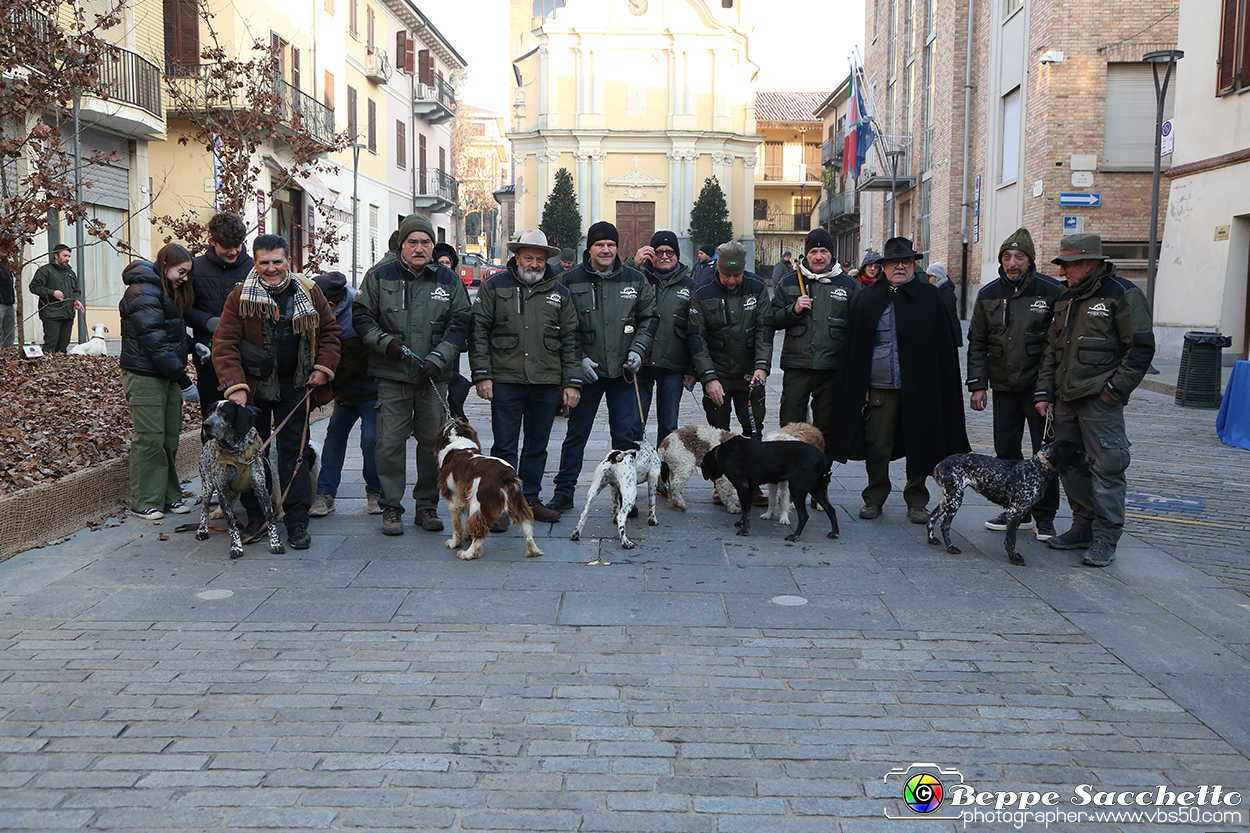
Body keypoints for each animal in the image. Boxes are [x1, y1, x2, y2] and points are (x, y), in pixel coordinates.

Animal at [196, 397, 285, 555]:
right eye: (210, 412)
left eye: (224, 412)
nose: (206, 424)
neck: (234, 452)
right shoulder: (222, 493)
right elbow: (231, 526)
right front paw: (236, 546)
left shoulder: (261, 490)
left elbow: (270, 521)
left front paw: (276, 544)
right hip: (207, 487)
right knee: (204, 510)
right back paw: (202, 530)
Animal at [695, 430, 840, 542]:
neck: (723, 453)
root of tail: (823, 458)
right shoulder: (749, 487)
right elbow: (746, 508)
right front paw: (742, 523)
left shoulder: (742, 485)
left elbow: (745, 509)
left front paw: (745, 530)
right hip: (816, 489)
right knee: (831, 509)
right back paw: (835, 533)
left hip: (797, 488)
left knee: (804, 515)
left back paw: (795, 536)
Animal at [930, 435, 1095, 565]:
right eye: (1077, 451)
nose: (1092, 460)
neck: (1037, 469)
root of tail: (939, 465)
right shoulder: (1014, 511)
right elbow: (1011, 539)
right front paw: (1014, 559)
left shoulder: (1019, 513)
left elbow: (1010, 538)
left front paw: (1013, 555)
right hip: (955, 499)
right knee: (944, 525)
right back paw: (950, 548)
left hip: (948, 499)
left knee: (932, 517)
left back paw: (932, 539)